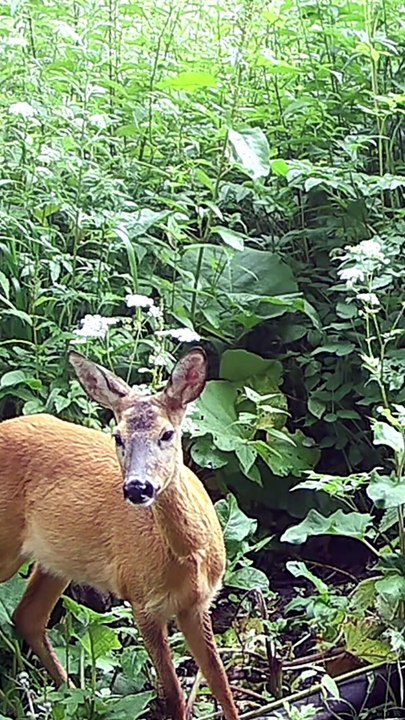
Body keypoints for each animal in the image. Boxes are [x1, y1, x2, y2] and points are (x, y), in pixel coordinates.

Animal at [0, 348, 239, 720]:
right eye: (118, 436)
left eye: (167, 434)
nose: (138, 487)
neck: (189, 558)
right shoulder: (141, 600)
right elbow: (173, 694)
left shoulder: (198, 603)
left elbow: (221, 685)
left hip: (57, 559)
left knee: (27, 616)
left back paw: (72, 692)